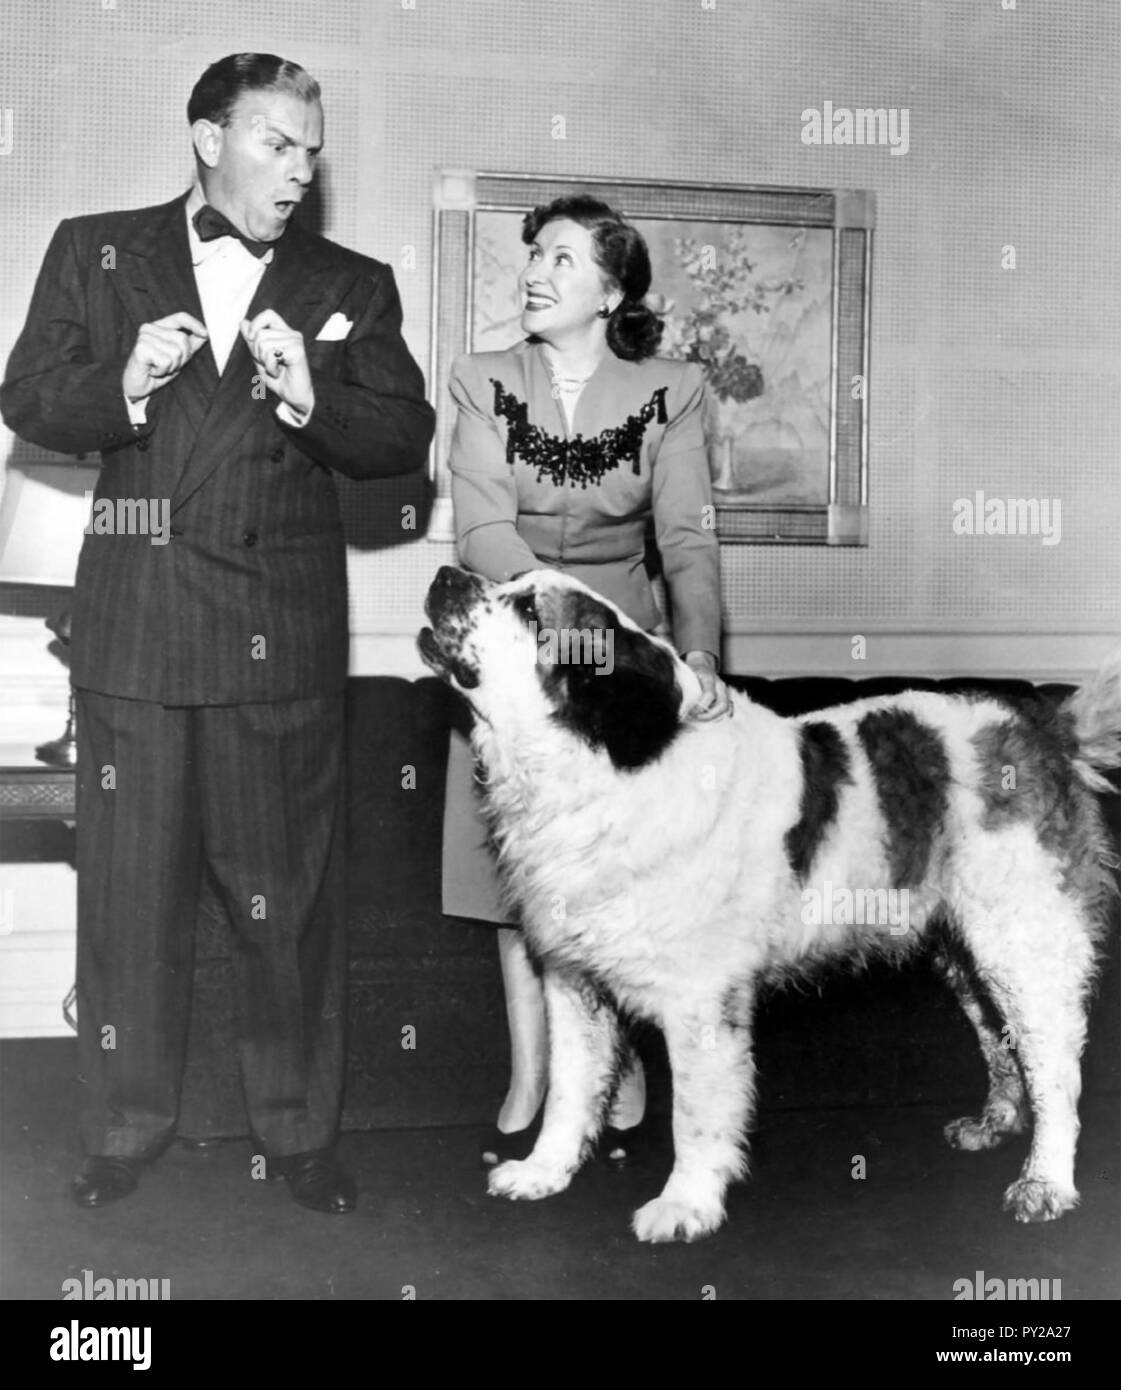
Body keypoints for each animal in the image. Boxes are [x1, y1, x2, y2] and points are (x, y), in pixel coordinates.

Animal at [417, 564, 1118, 1251]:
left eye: (530, 610)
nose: (446, 573)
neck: (607, 769)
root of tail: (1044, 726)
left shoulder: (700, 1001)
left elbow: (696, 1115)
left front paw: (686, 1205)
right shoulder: (572, 981)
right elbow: (568, 1091)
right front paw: (543, 1172)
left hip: (1021, 940)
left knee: (1053, 1064)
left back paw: (1045, 1183)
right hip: (968, 953)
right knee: (1002, 1042)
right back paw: (995, 1122)